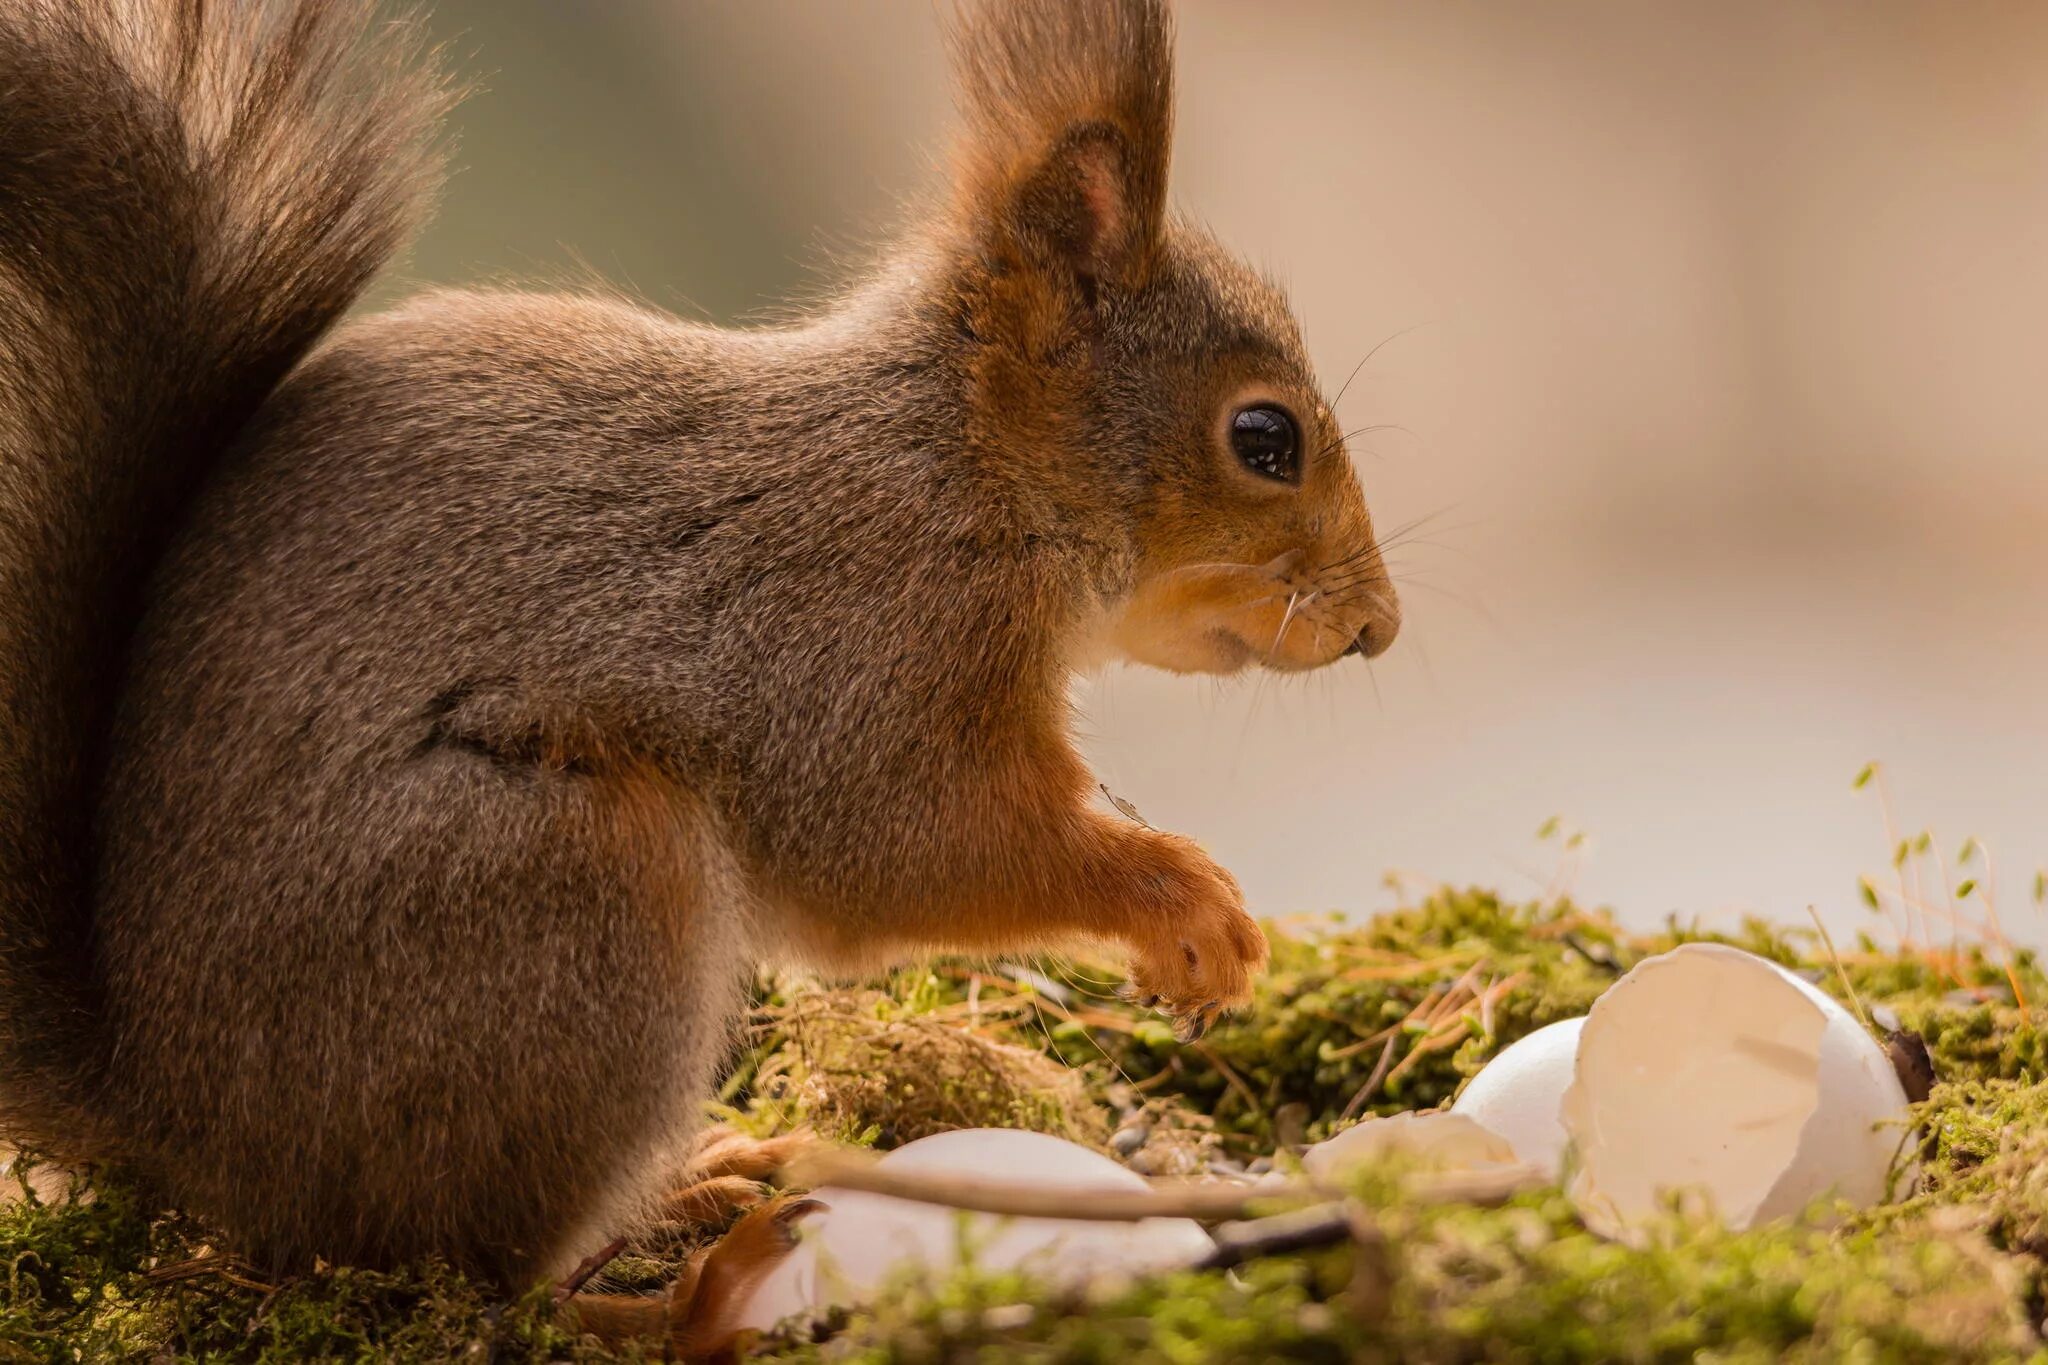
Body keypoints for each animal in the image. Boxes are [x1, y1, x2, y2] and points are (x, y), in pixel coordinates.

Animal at [0, 0, 1392, 1301]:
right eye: (1263, 438)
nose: (1375, 628)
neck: (961, 464)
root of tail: (177, 1127)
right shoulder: (859, 643)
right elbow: (911, 843)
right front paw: (1186, 906)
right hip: (568, 882)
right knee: (478, 1272)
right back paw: (650, 1266)